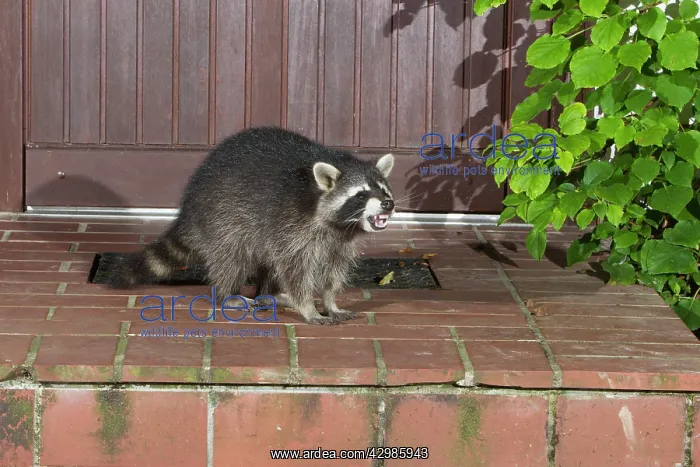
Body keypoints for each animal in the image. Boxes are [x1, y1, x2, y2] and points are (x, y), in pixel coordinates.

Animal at [103, 126, 396, 325]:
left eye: (383, 189)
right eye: (361, 195)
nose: (388, 204)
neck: (338, 225)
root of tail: (188, 208)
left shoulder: (339, 242)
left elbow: (333, 271)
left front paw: (330, 300)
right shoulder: (290, 224)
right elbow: (295, 270)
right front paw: (307, 306)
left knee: (268, 263)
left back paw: (270, 294)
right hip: (223, 220)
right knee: (233, 258)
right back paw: (228, 294)